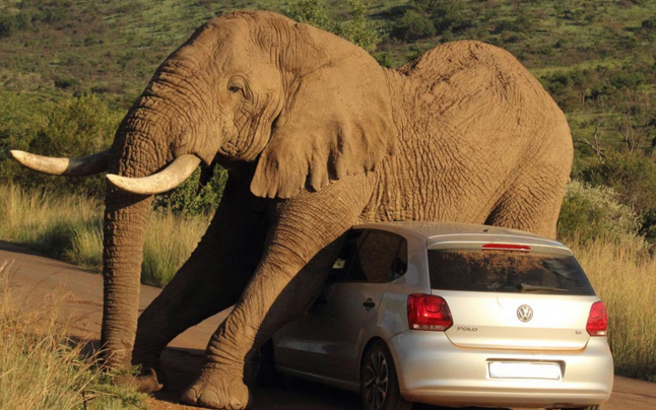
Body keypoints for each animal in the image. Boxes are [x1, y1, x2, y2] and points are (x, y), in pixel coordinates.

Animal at [12, 9, 572, 410]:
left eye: (235, 89)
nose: (113, 379)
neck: (306, 47)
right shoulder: (265, 156)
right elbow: (220, 266)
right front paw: (145, 376)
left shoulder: (344, 173)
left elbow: (291, 276)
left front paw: (210, 398)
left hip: (541, 170)